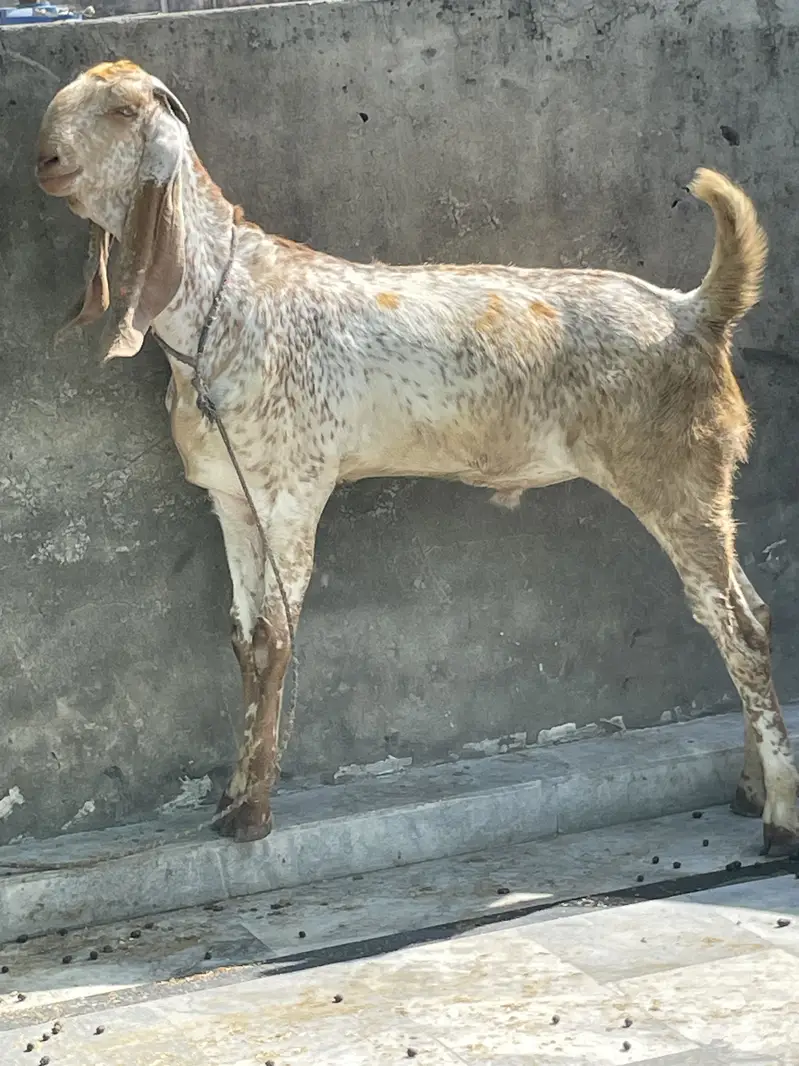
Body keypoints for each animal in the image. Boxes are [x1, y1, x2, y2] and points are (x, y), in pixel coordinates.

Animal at [36, 60, 798, 853]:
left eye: (122, 110)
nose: (46, 160)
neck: (227, 298)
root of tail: (692, 310)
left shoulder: (294, 489)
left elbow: (276, 640)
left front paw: (252, 818)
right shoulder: (234, 497)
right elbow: (244, 640)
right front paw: (230, 797)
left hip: (675, 474)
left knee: (736, 626)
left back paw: (779, 818)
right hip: (698, 483)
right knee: (752, 610)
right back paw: (748, 790)